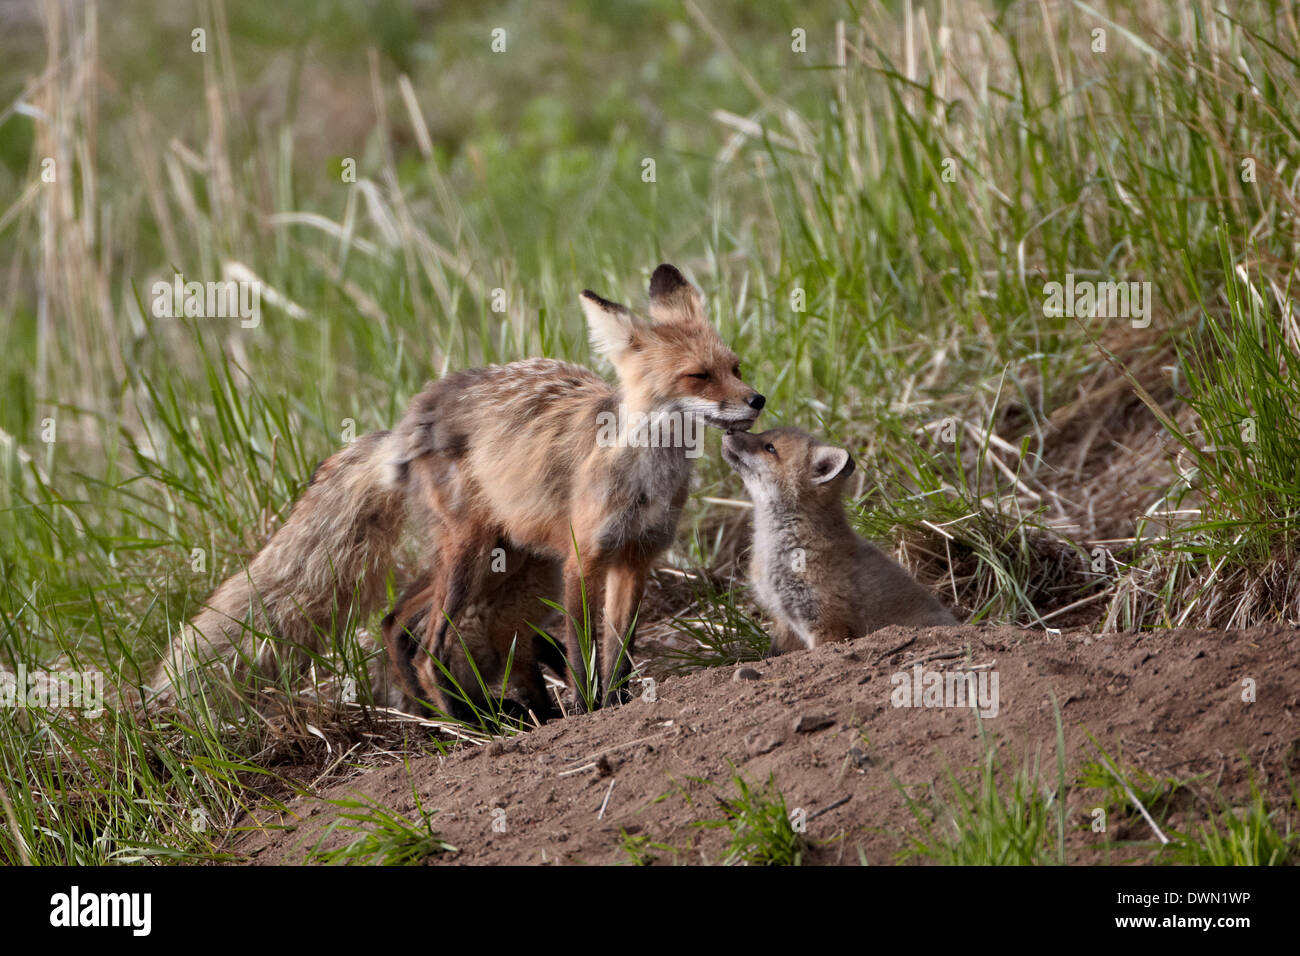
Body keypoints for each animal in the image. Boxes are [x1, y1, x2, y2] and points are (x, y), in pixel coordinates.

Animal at [154, 264, 763, 716]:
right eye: (698, 376)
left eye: (735, 366)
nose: (757, 399)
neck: (643, 477)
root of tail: (412, 416)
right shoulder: (580, 559)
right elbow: (582, 646)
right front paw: (589, 707)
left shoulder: (636, 557)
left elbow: (621, 649)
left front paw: (617, 701)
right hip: (472, 553)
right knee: (429, 645)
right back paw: (476, 724)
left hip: (493, 556)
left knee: (396, 620)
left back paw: (449, 716)